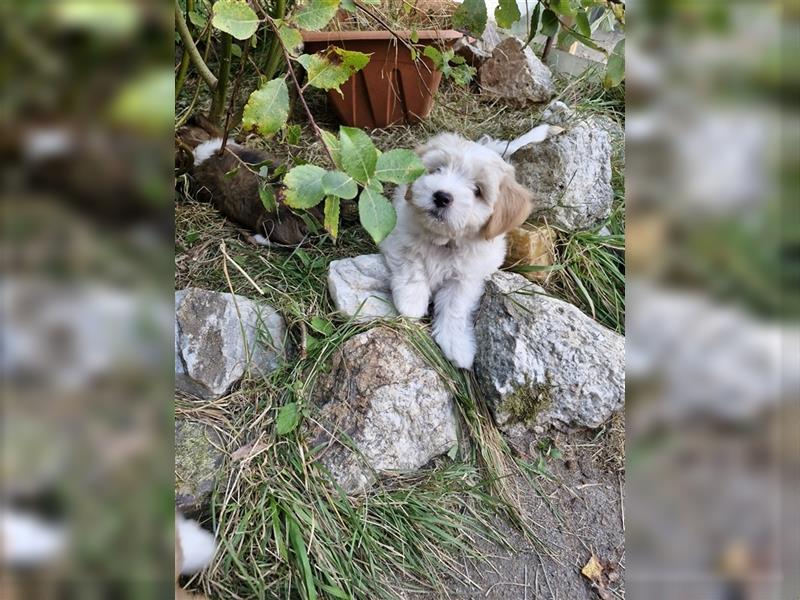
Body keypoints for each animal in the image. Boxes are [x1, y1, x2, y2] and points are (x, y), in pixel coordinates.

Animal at [382, 126, 556, 368]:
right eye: (437, 170)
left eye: (477, 190)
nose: (442, 196)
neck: (446, 241)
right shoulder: (399, 237)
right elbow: (413, 266)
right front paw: (411, 301)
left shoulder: (468, 277)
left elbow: (456, 305)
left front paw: (457, 343)